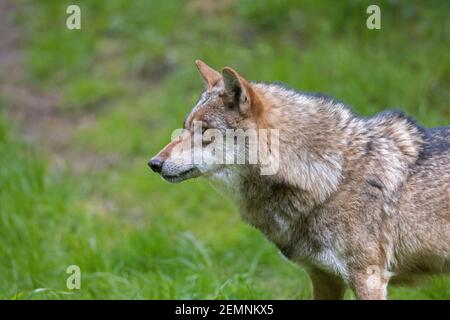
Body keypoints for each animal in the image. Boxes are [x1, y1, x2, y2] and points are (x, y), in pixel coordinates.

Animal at [149, 60, 450, 300]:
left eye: (204, 130)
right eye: (185, 128)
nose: (154, 164)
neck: (332, 179)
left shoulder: (369, 277)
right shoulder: (324, 277)